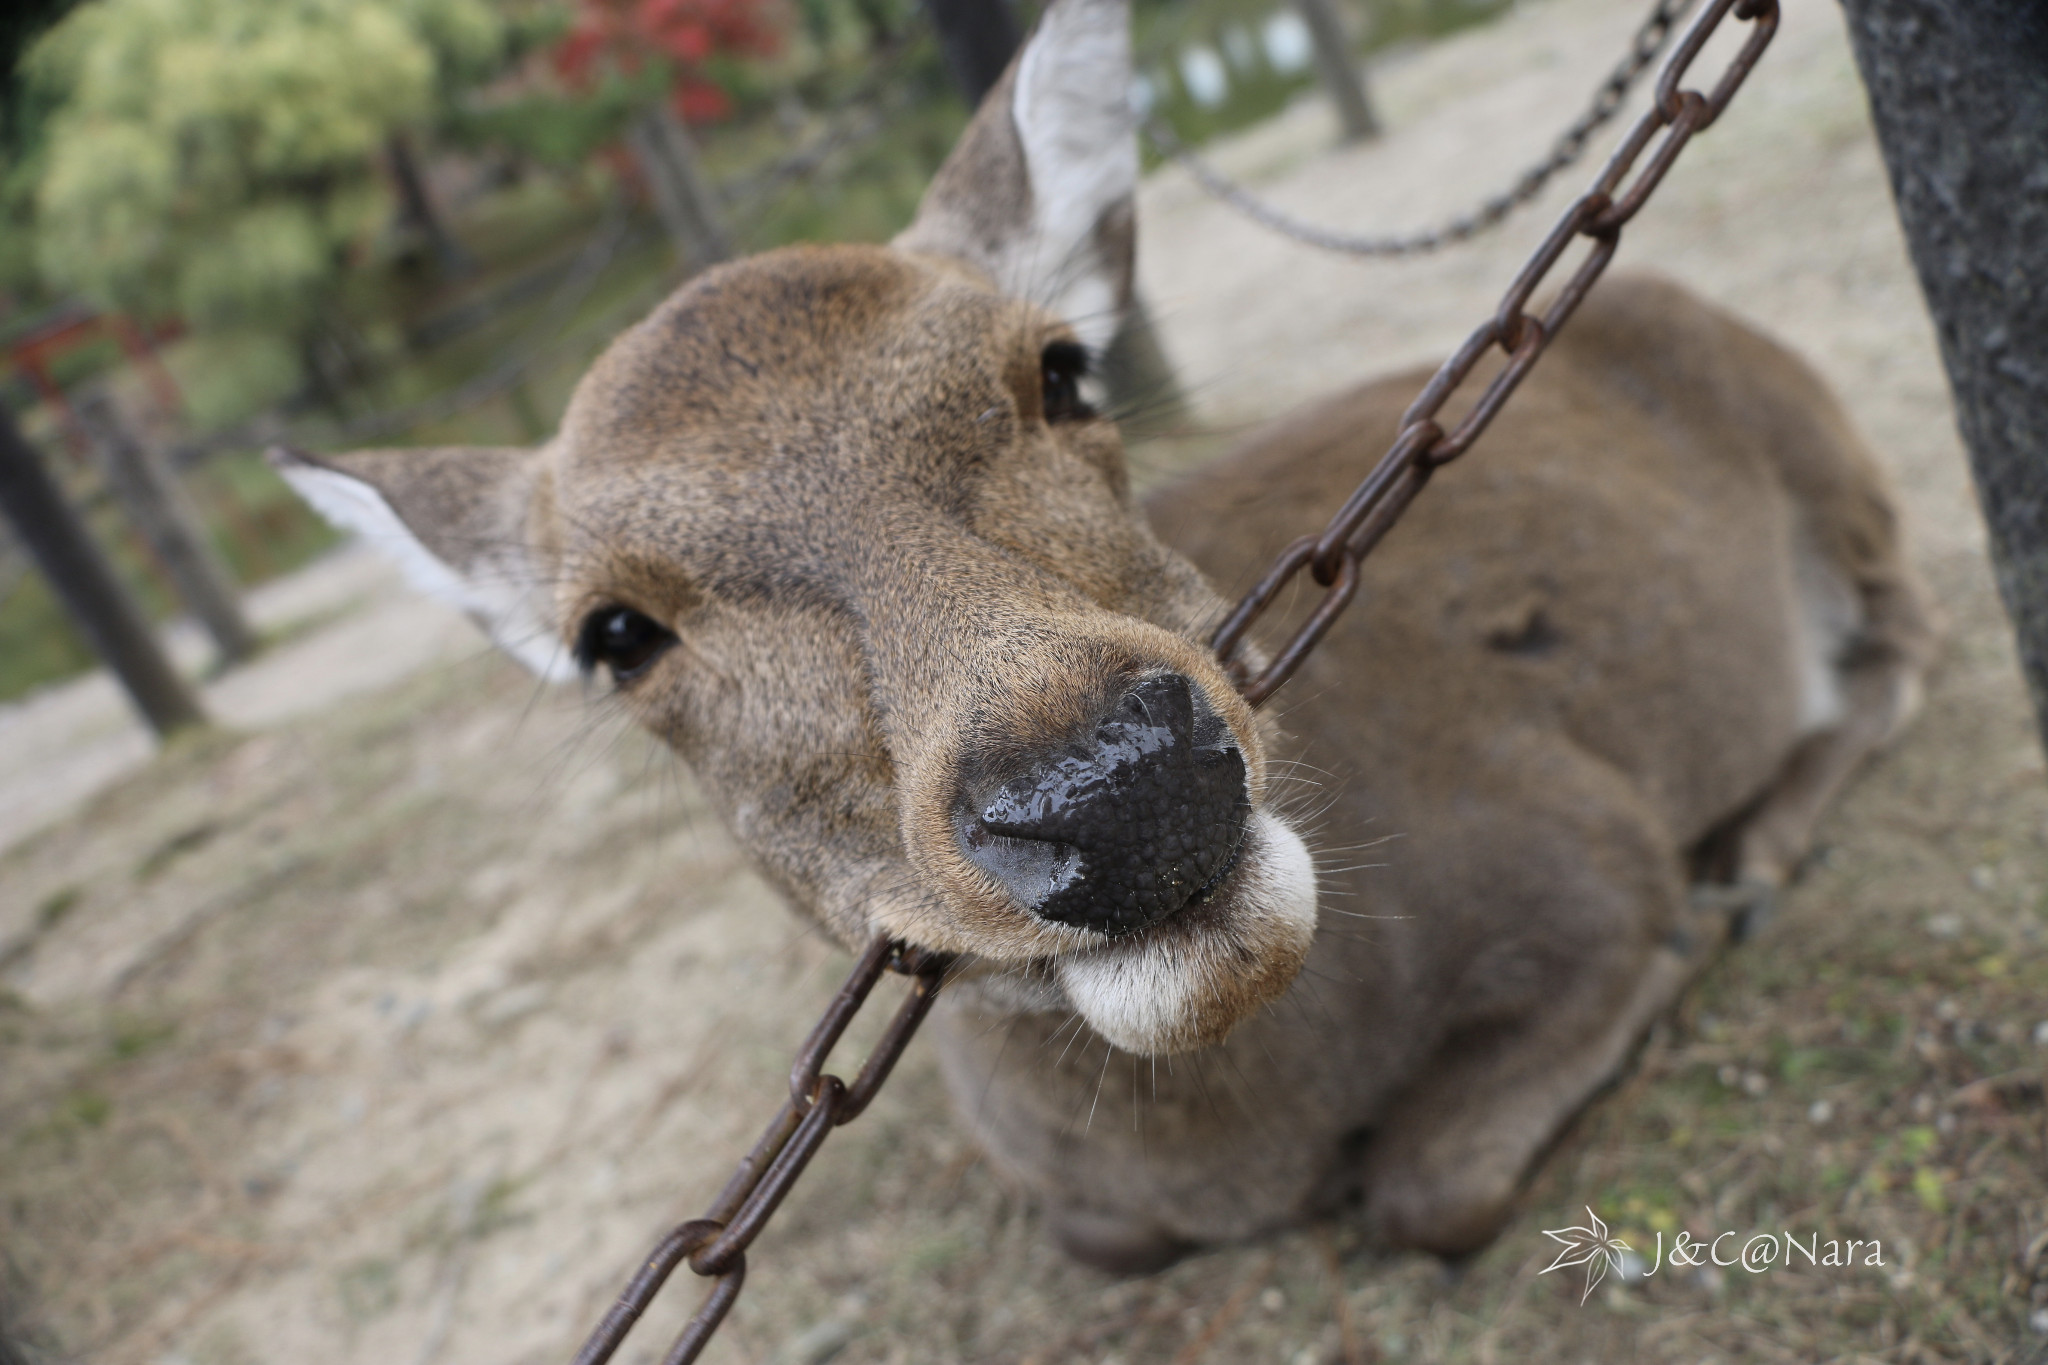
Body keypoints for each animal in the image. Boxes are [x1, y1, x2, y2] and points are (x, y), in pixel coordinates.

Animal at [272, 0, 1933, 1285]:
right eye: (614, 633)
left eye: (1063, 369)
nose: (1122, 786)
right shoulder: (1068, 1196)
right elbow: (1111, 1237)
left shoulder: (1583, 853)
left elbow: (1429, 1185)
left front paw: (1682, 944)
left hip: (1833, 448)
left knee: (1904, 641)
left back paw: (1756, 849)